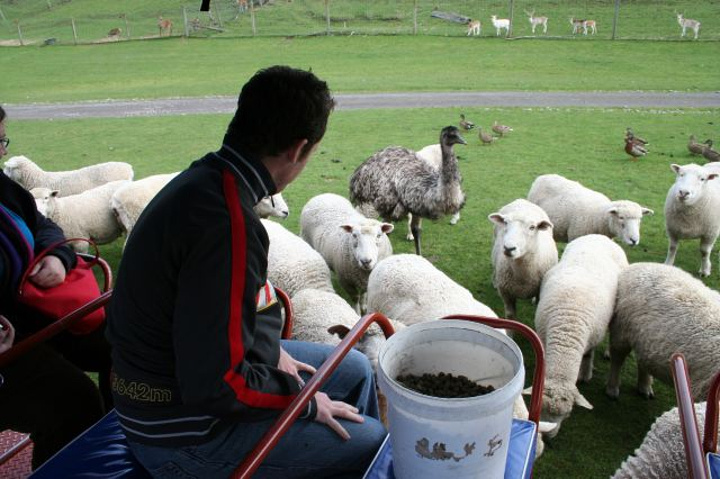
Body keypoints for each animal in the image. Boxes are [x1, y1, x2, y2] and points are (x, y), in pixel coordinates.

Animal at [348, 125, 466, 256]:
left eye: (458, 133)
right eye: (452, 135)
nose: (464, 141)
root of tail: (358, 175)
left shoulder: (417, 209)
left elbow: (416, 230)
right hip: (379, 203)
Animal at [532, 234, 628, 436]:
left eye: (568, 414)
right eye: (540, 408)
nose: (548, 436)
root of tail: (599, 236)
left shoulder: (591, 338)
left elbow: (588, 355)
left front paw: (585, 373)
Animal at [608, 262, 720, 402]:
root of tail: (641, 264)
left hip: (645, 338)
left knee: (643, 359)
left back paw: (644, 387)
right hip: (621, 330)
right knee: (617, 359)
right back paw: (612, 388)